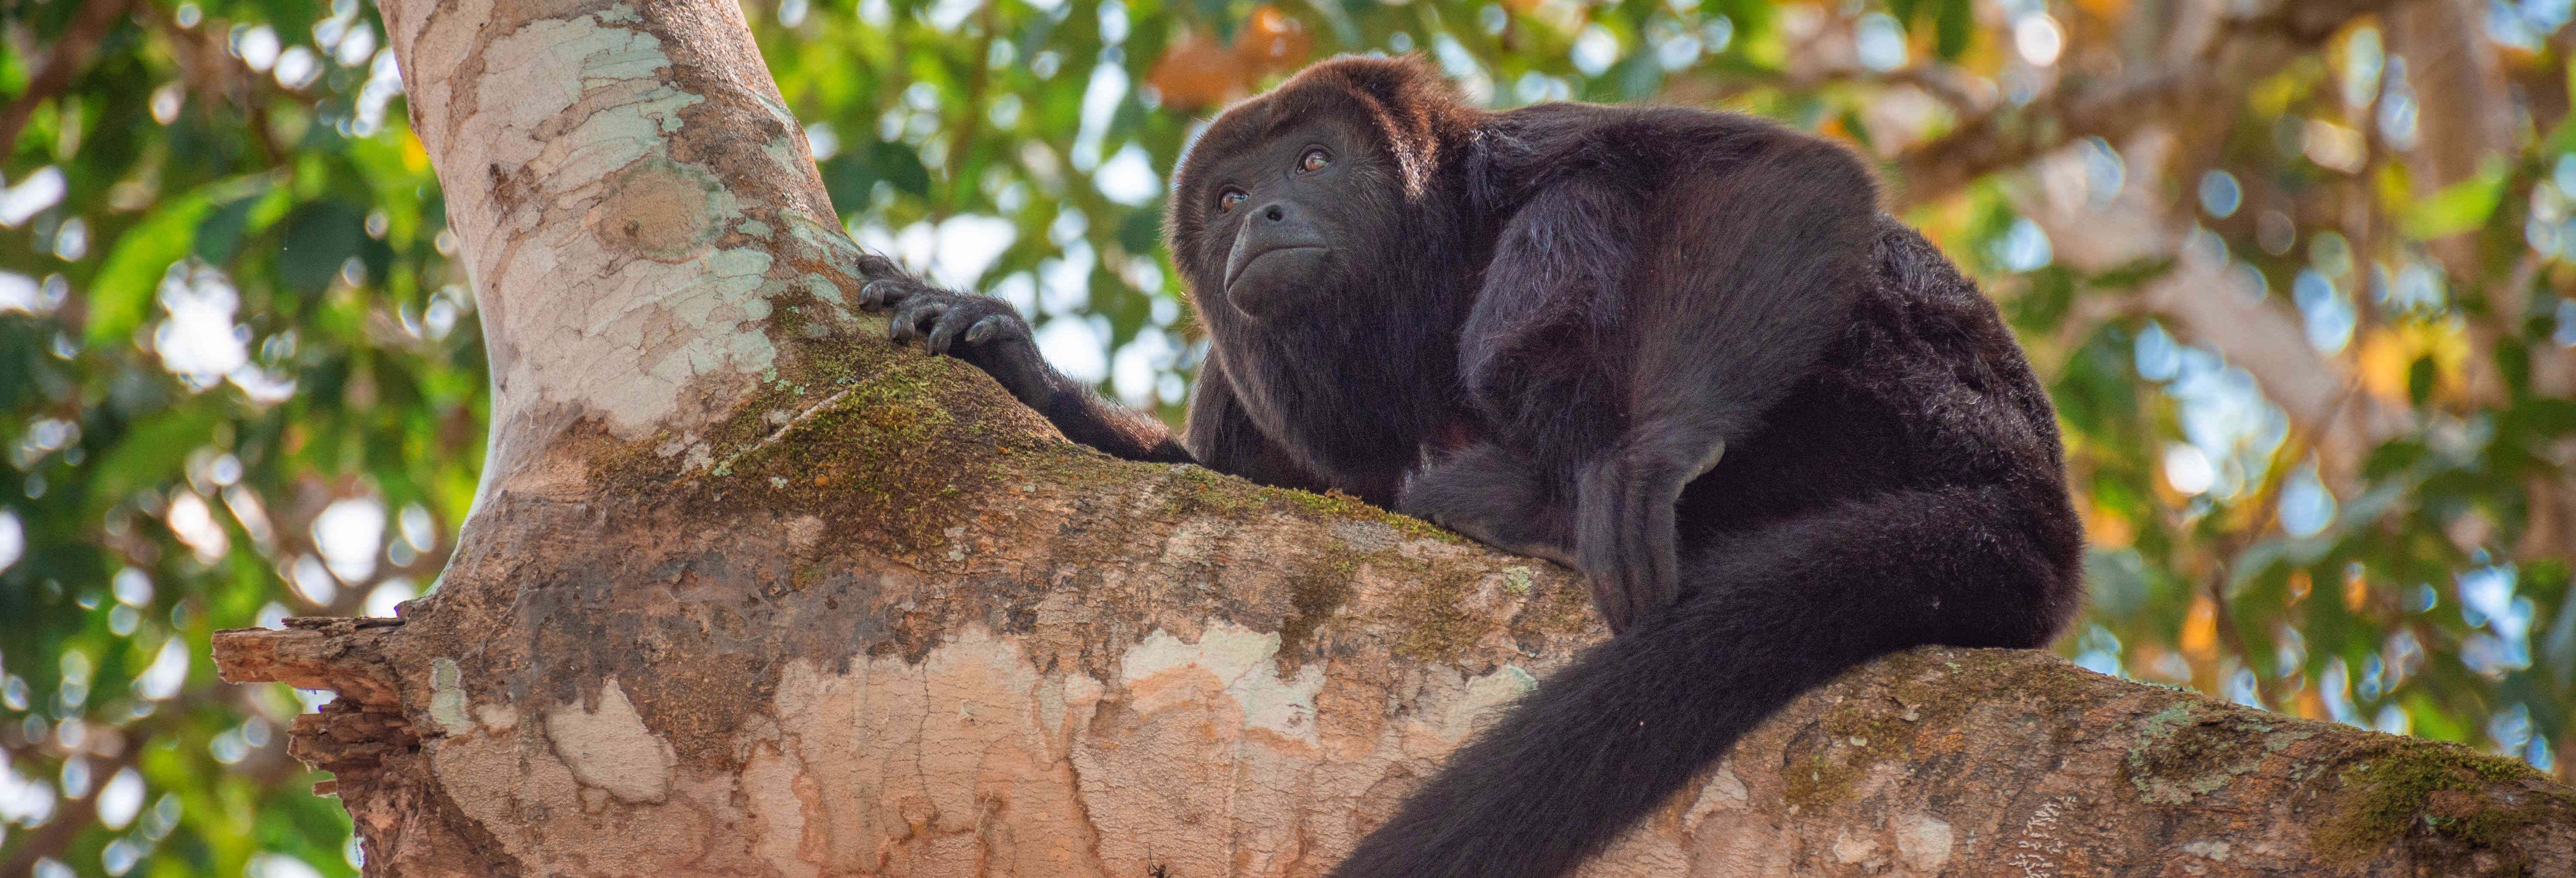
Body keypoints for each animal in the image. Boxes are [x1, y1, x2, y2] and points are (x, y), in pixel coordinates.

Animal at [855, 53, 2081, 875]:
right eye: (1226, 196)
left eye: (1314, 160)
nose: (1264, 214)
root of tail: (2038, 508)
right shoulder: (1235, 384)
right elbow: (1233, 487)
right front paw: (1010, 357)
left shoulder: (1519, 145)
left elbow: (1779, 174)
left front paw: (1649, 464)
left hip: (1897, 389)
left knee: (1591, 206)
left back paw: (1544, 500)